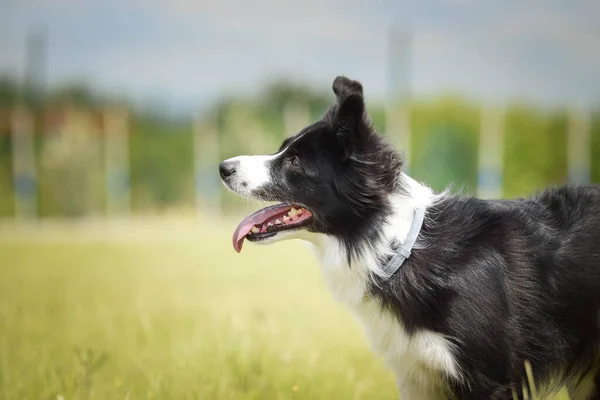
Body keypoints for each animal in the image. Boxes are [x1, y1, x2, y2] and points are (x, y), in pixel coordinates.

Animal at [219, 76, 600, 398]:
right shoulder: (419, 375)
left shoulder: (492, 378)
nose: (223, 168)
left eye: (295, 162)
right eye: (283, 149)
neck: (399, 250)